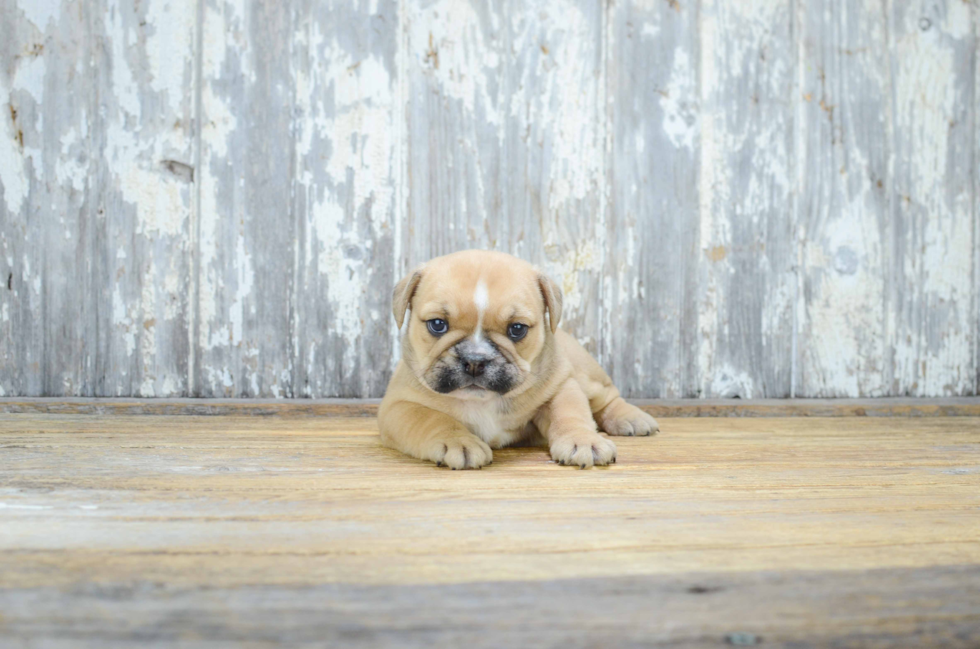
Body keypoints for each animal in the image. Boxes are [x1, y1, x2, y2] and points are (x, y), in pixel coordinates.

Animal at [378, 251, 664, 468]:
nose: (475, 360)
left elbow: (570, 412)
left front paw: (583, 440)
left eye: (517, 329)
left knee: (606, 397)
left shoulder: (561, 386)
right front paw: (458, 442)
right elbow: (432, 419)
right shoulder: (399, 406)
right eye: (437, 325)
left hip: (585, 376)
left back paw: (631, 418)